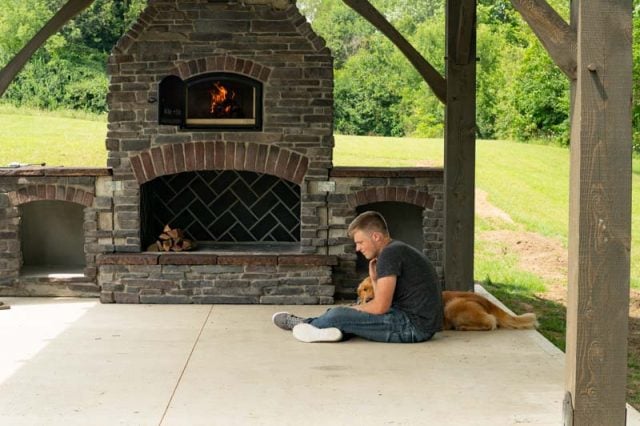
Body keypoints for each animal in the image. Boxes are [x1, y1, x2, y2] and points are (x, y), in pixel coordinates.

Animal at [358, 276, 536, 332]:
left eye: (371, 289)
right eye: (363, 290)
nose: (367, 299)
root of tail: (486, 300)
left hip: (453, 306)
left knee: (491, 322)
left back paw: (463, 327)